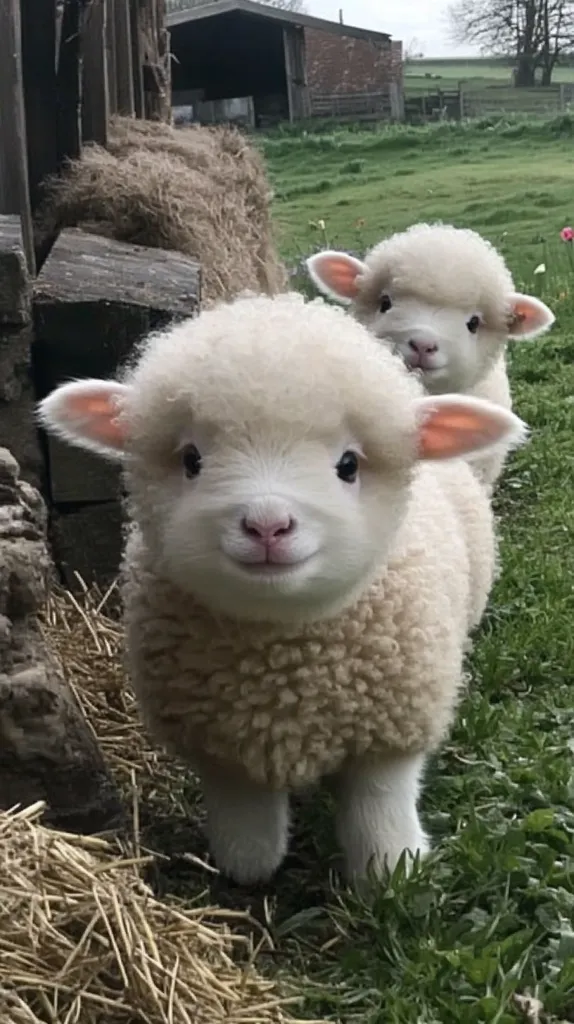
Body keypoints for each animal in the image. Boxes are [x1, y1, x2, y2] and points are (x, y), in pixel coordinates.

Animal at [37, 291, 527, 887]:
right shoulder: (222, 747)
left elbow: (379, 811)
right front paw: (245, 867)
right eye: (192, 460)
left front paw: (391, 872)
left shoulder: (392, 731)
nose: (267, 525)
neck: (285, 660)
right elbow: (249, 839)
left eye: (348, 465)